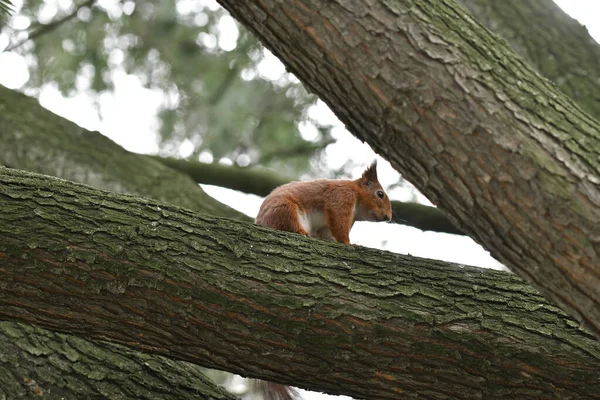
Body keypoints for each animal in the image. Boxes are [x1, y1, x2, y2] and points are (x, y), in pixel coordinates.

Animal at [251, 160, 392, 400]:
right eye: (380, 193)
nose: (390, 217)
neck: (356, 197)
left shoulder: (326, 227)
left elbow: (329, 233)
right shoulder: (340, 199)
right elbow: (339, 225)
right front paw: (349, 244)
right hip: (286, 209)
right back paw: (302, 234)